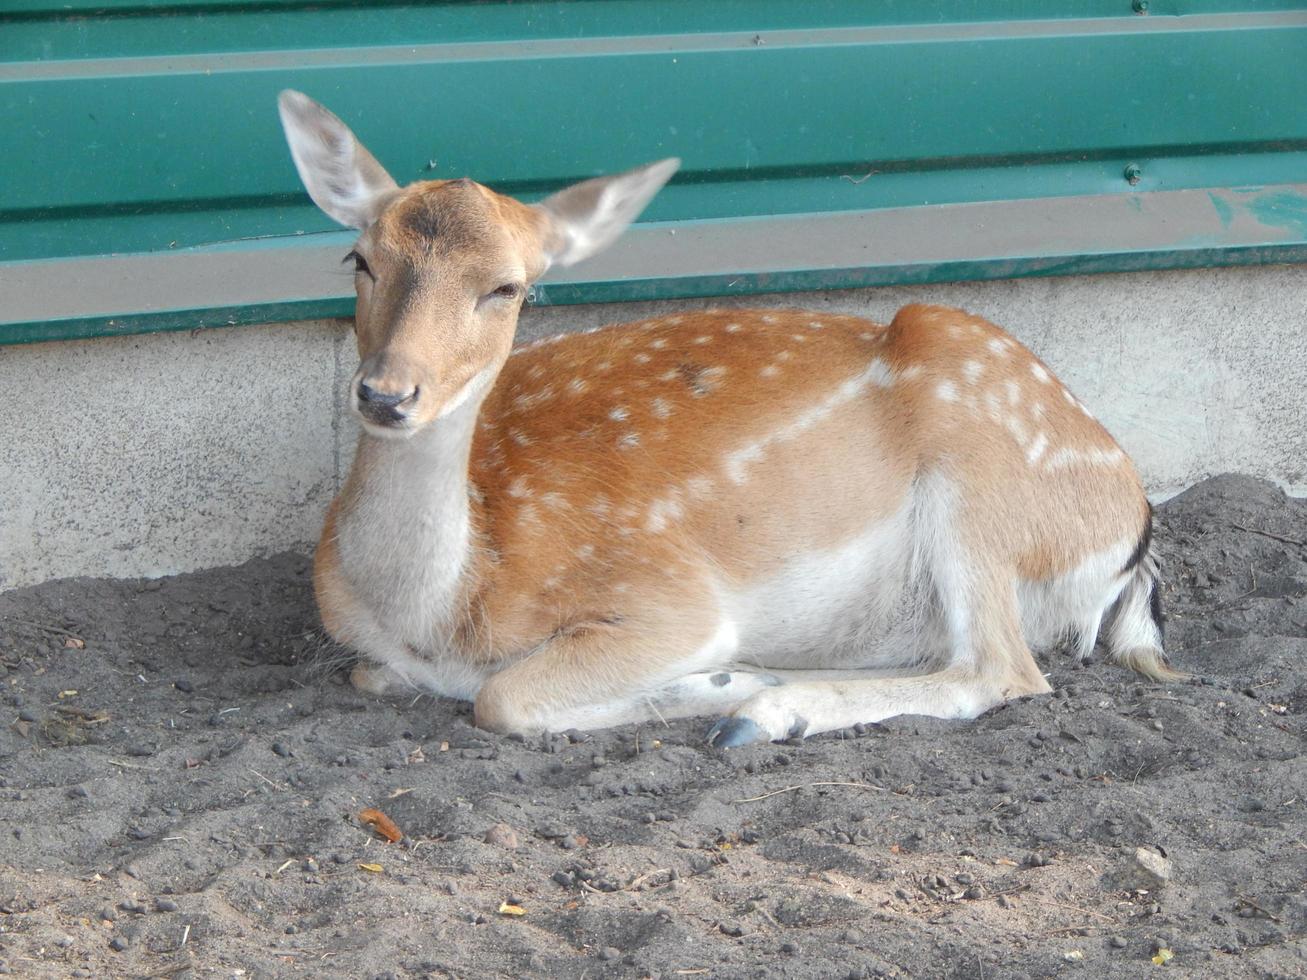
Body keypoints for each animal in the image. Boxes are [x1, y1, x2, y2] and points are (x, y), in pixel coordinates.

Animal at [273, 94, 1176, 752]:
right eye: (359, 258)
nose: (387, 394)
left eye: (507, 287)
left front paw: (729, 682)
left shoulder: (667, 597)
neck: (441, 611)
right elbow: (374, 676)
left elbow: (504, 697)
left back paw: (762, 712)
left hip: (980, 486)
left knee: (1001, 668)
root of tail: (1134, 529)